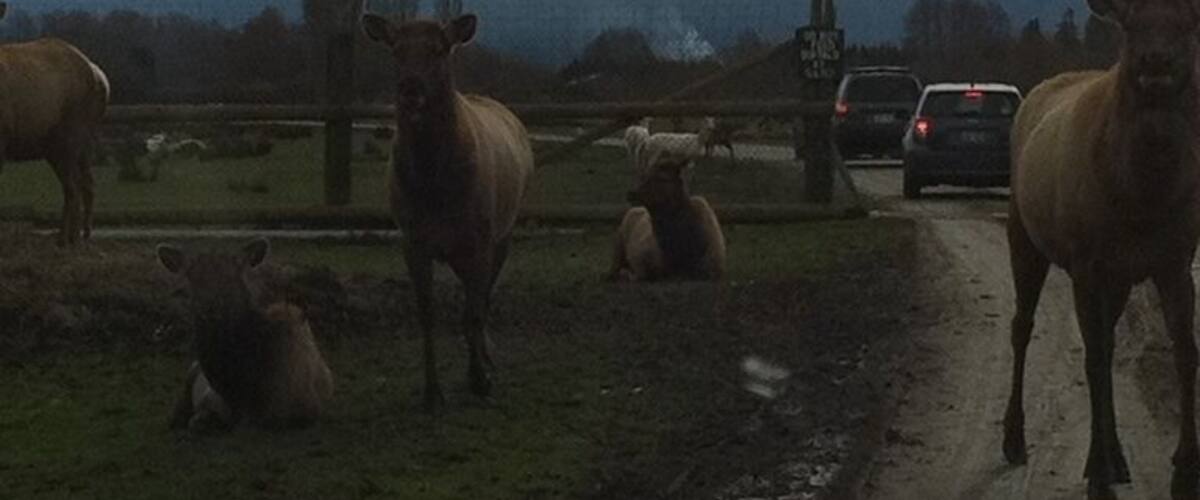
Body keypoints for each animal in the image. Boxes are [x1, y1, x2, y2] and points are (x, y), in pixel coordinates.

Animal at [1003, 1, 1200, 498]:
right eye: (1129, 22)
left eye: (1188, 21)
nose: (1156, 61)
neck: (1144, 197)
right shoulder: (1086, 263)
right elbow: (1093, 361)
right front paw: (1096, 474)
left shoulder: (1174, 261)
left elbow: (1186, 353)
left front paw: (1185, 471)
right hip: (1024, 234)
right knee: (1022, 326)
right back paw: (1014, 438)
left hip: (1121, 278)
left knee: (1107, 341)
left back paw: (1118, 458)